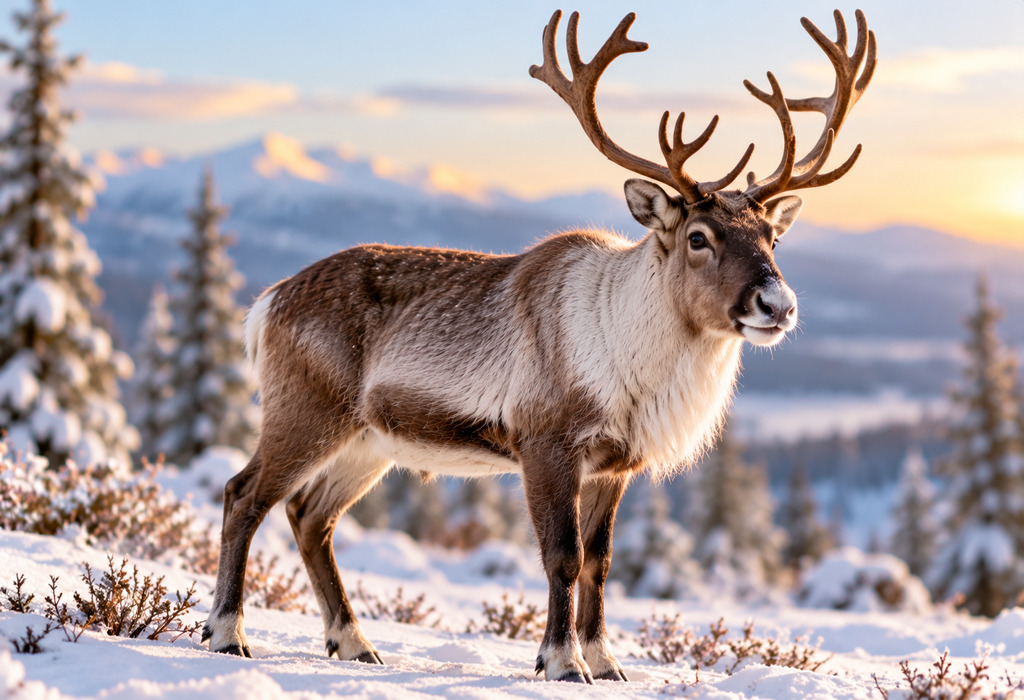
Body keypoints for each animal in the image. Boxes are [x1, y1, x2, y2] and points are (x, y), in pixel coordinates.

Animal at [201, 7, 875, 684]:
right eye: (699, 237)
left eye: (771, 237)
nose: (778, 305)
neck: (633, 360)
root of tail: (266, 303)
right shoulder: (546, 443)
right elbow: (562, 556)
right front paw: (562, 661)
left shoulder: (615, 463)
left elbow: (601, 562)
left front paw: (607, 663)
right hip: (307, 409)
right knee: (244, 494)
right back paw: (227, 634)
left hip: (369, 441)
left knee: (310, 516)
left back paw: (355, 643)